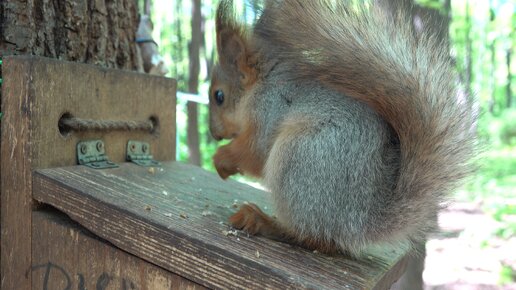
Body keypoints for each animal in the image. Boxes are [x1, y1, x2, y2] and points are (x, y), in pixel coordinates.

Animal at [206, 0, 476, 256]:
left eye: (219, 96)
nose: (214, 133)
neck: (262, 84)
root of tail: (360, 222)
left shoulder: (269, 112)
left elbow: (255, 153)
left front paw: (222, 158)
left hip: (300, 158)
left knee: (313, 237)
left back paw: (262, 221)